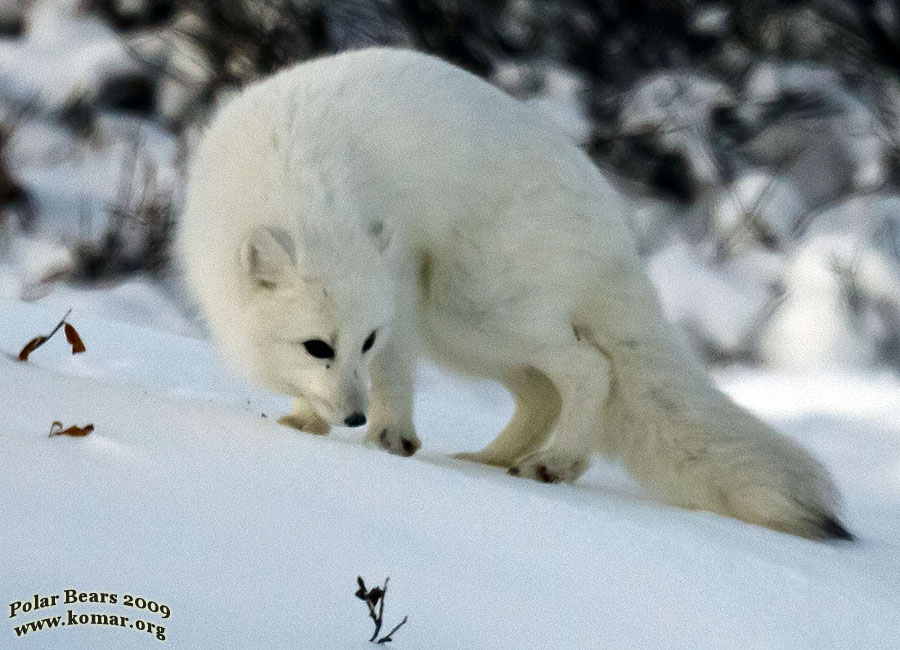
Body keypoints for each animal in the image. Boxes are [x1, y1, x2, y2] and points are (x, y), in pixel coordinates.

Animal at [181, 48, 852, 540]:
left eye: (366, 341)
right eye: (318, 346)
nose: (353, 417)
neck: (294, 176)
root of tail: (615, 232)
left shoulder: (398, 289)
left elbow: (394, 375)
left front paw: (390, 440)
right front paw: (307, 420)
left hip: (470, 308)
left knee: (590, 369)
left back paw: (556, 464)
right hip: (463, 332)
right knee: (542, 394)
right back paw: (486, 461)